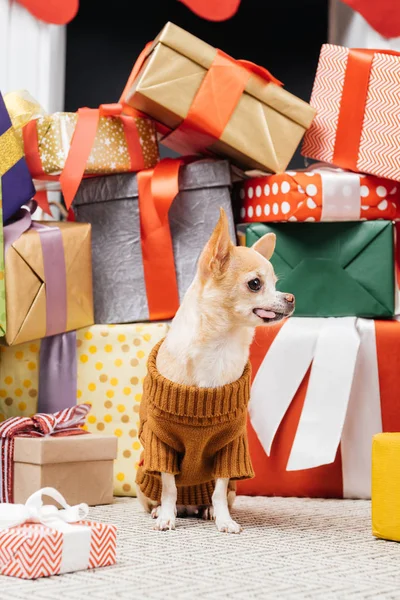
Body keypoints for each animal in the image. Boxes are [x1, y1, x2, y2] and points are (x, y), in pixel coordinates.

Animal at [136, 209, 296, 532]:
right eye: (256, 284)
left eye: (275, 283)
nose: (291, 298)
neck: (221, 346)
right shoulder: (162, 444)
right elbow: (169, 486)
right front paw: (167, 516)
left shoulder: (230, 448)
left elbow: (219, 489)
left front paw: (223, 519)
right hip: (143, 475)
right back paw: (161, 510)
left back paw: (206, 509)